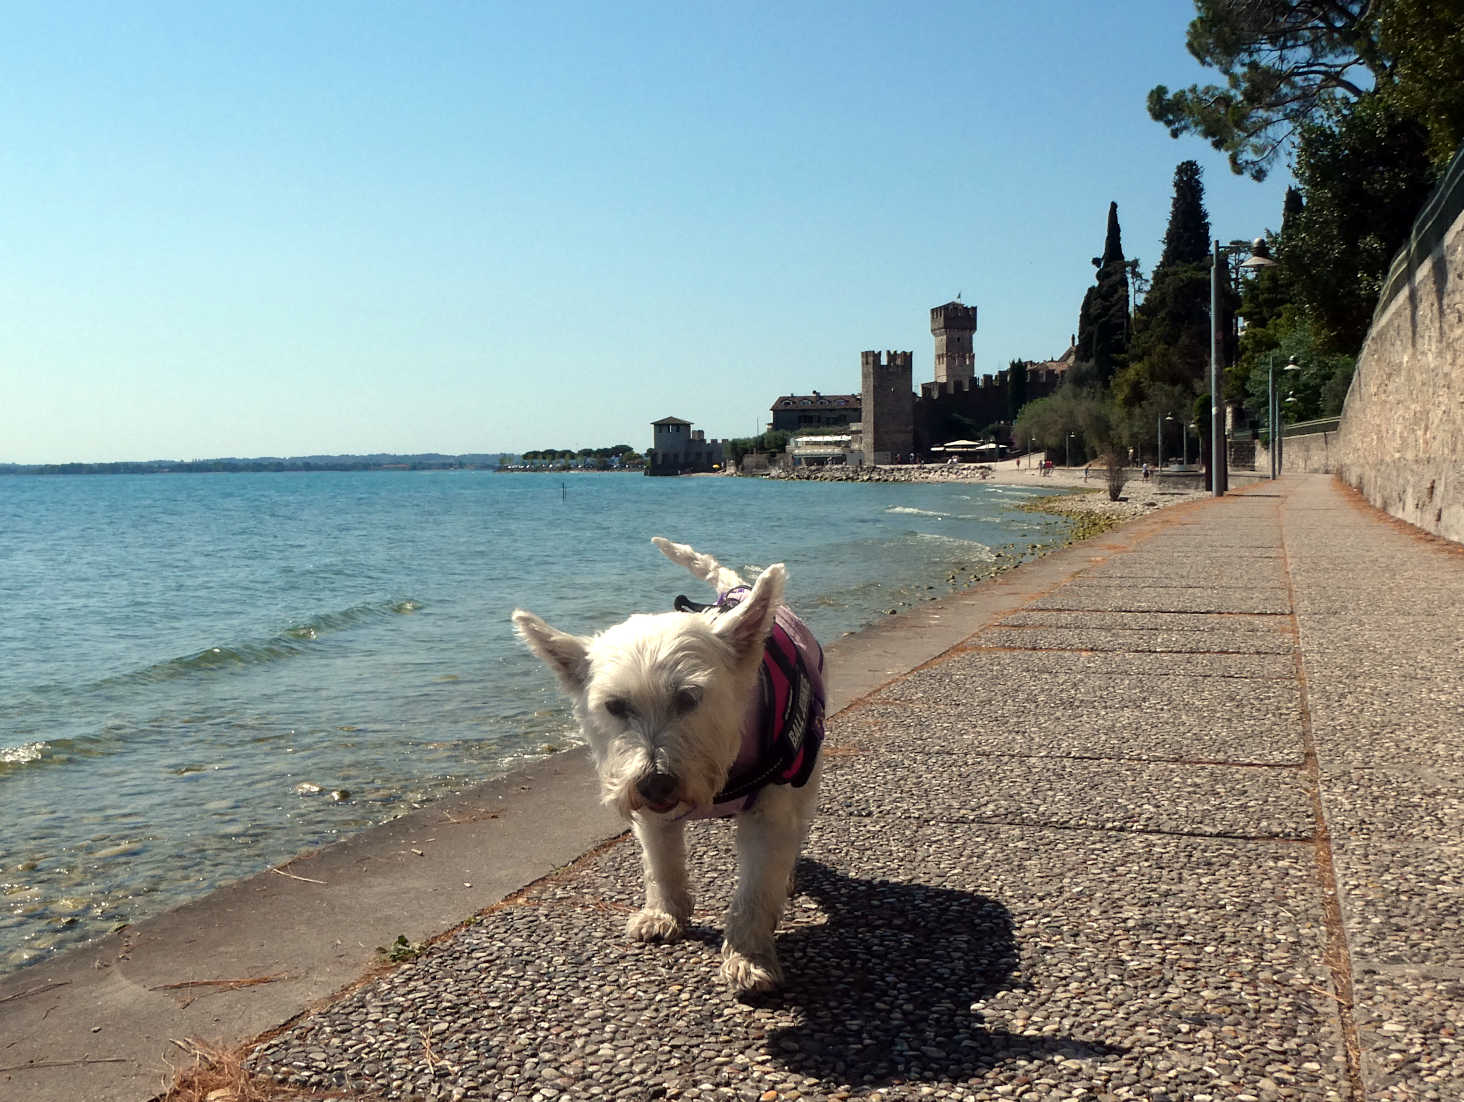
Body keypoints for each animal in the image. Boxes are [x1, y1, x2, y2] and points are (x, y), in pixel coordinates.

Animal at [515, 538, 825, 995]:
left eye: (689, 697)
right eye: (615, 706)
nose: (656, 784)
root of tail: (737, 591)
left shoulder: (769, 813)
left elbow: (755, 887)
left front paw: (748, 957)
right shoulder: (651, 816)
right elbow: (662, 864)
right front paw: (664, 915)